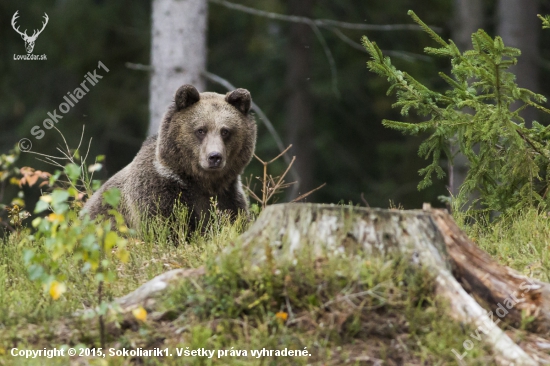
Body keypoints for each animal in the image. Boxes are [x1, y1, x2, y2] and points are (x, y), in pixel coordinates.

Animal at [82, 84, 258, 232]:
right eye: (201, 130)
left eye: (225, 131)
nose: (214, 157)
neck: (201, 182)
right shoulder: (159, 192)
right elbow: (165, 227)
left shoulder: (228, 196)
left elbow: (234, 221)